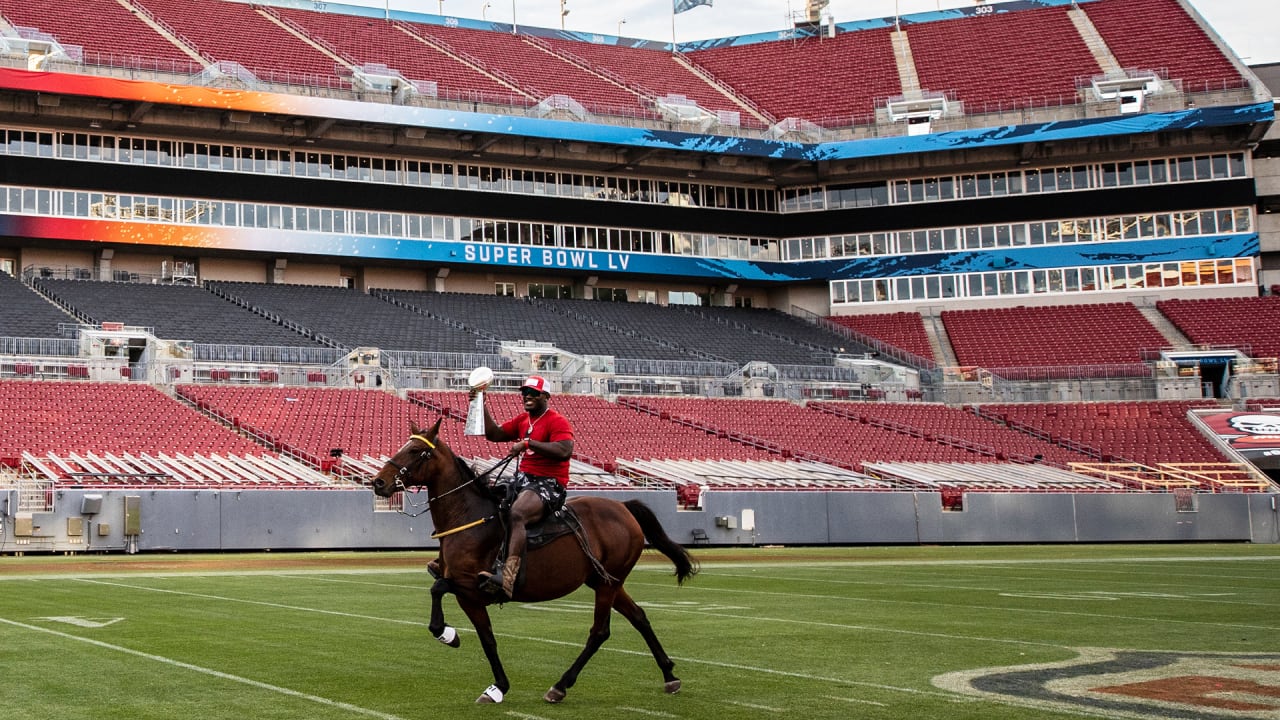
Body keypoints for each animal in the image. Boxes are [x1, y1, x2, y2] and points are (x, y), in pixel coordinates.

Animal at [371, 417, 701, 702]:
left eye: (416, 451)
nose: (378, 483)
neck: (468, 517)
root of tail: (624, 508)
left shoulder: (470, 586)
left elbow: (438, 588)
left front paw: (448, 635)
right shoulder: (470, 598)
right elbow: (487, 639)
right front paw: (497, 686)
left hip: (608, 584)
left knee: (600, 632)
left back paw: (561, 685)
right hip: (605, 580)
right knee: (639, 617)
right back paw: (670, 675)